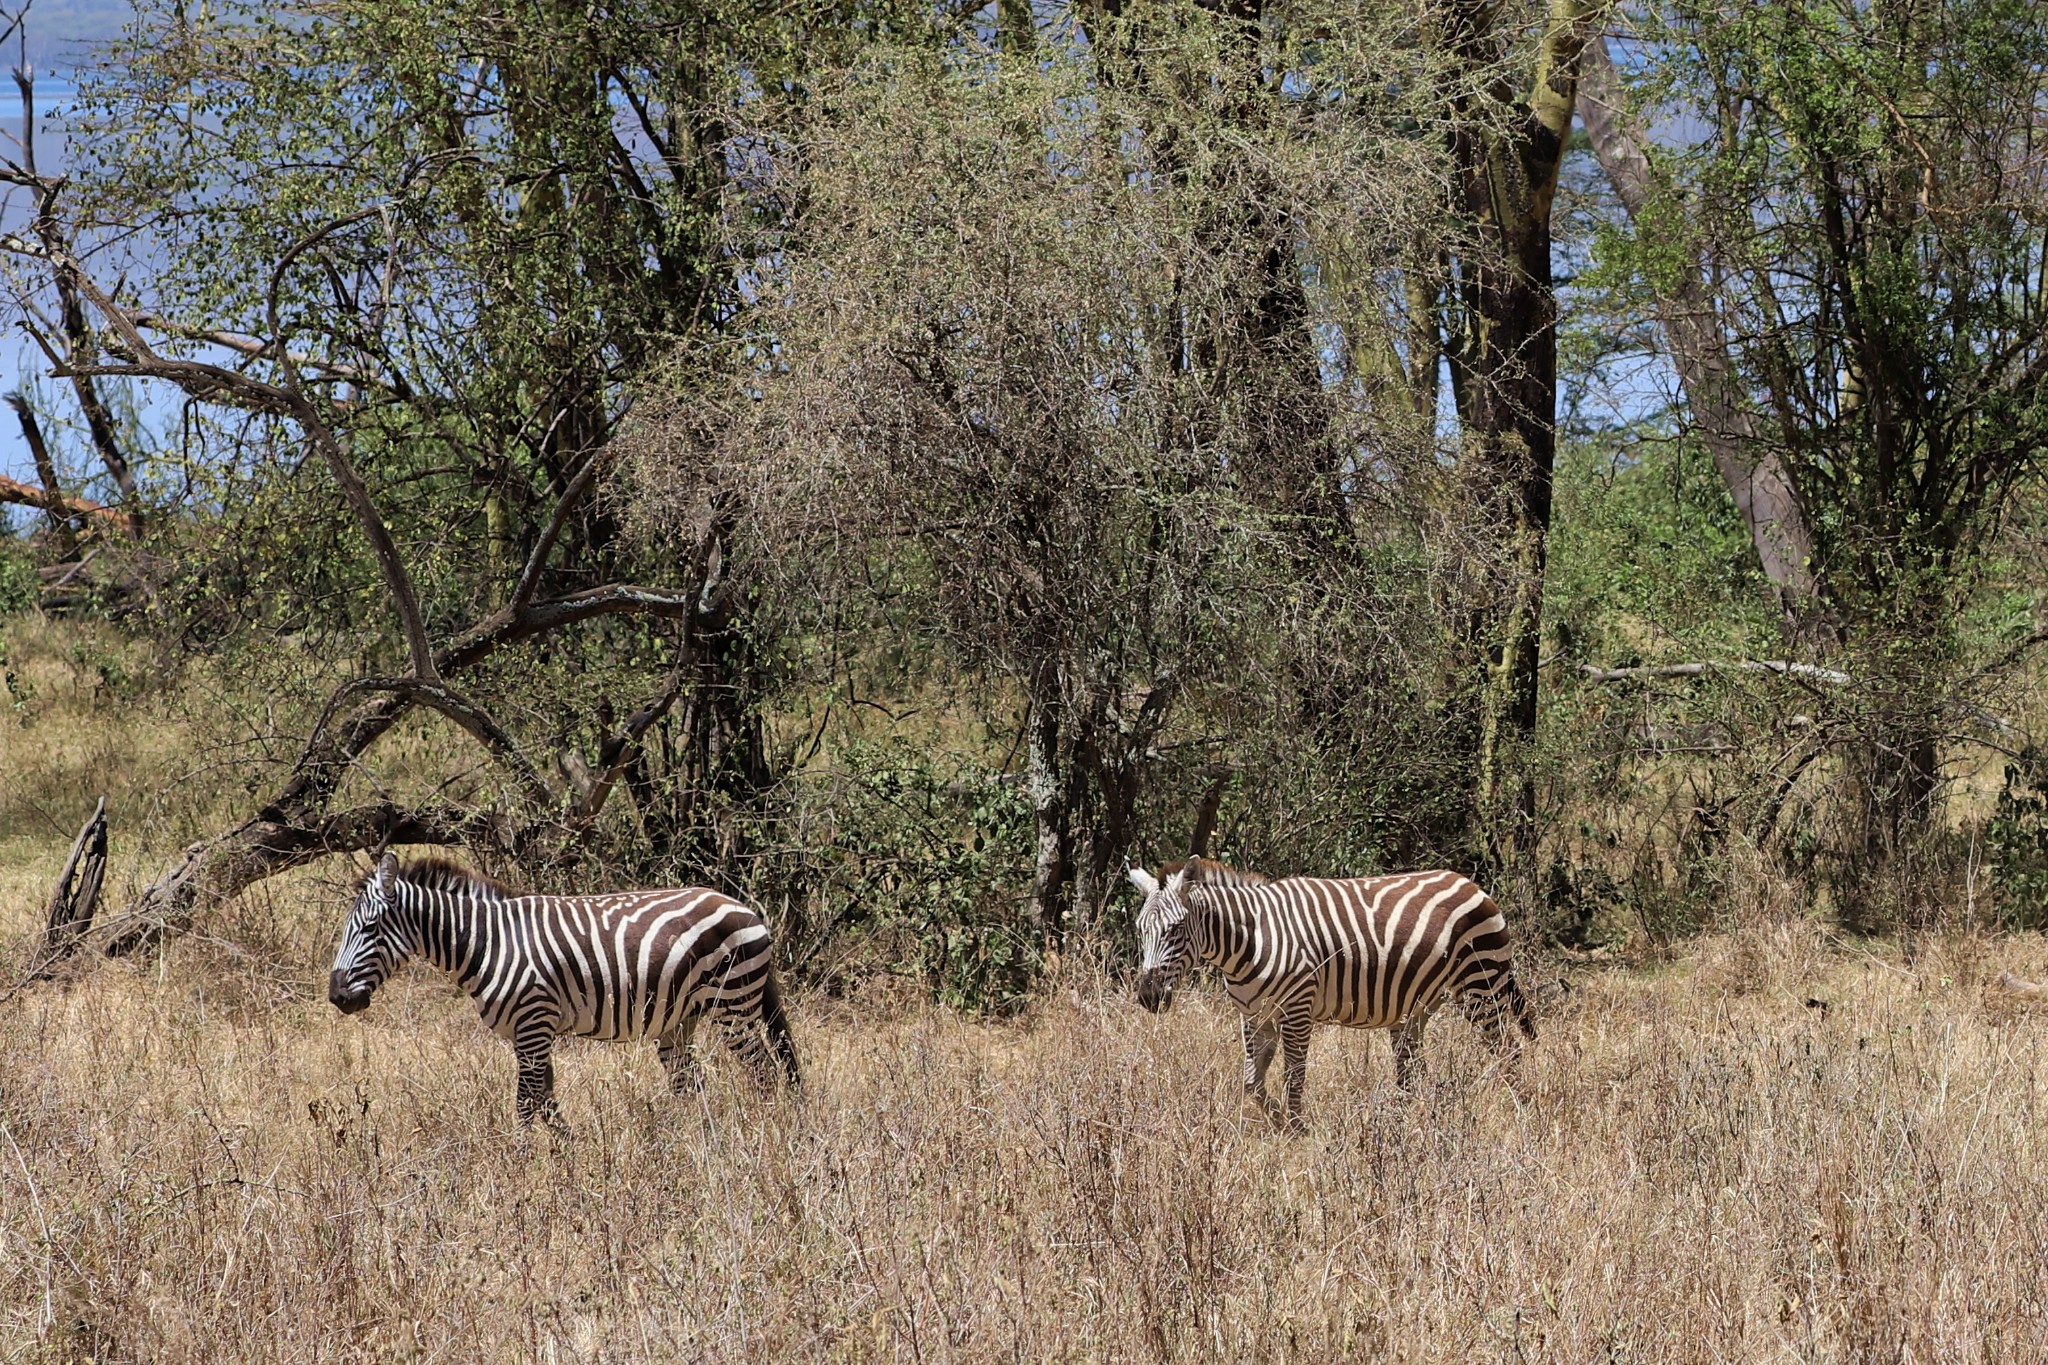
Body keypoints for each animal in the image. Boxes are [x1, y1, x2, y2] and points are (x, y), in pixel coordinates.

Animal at [327, 855, 798, 1129]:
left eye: (370, 928)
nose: (337, 997)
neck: (488, 944)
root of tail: (745, 909)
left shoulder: (533, 1024)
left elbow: (525, 1103)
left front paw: (518, 1167)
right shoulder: (531, 1034)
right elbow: (546, 1102)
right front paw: (564, 1161)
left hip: (734, 1005)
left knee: (765, 1073)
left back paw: (765, 1133)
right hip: (681, 1020)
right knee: (692, 1085)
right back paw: (697, 1143)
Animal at [1130, 859, 1531, 1129]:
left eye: (1176, 928)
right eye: (1140, 929)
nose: (1149, 996)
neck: (1251, 940)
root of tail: (1470, 884)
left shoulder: (1297, 1009)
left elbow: (1294, 1076)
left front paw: (1296, 1130)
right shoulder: (1255, 1015)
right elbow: (1252, 1083)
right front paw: (1278, 1122)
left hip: (1481, 984)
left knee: (1508, 1050)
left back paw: (1515, 1108)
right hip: (1419, 1003)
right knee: (1412, 1070)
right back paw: (1405, 1121)